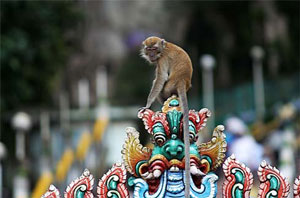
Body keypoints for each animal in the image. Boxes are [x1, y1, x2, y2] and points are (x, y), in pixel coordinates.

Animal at [140, 36, 192, 196]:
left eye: (154, 49)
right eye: (149, 49)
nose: (151, 55)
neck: (163, 48)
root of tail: (182, 80)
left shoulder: (161, 60)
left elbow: (160, 78)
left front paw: (147, 105)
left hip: (169, 87)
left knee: (160, 84)